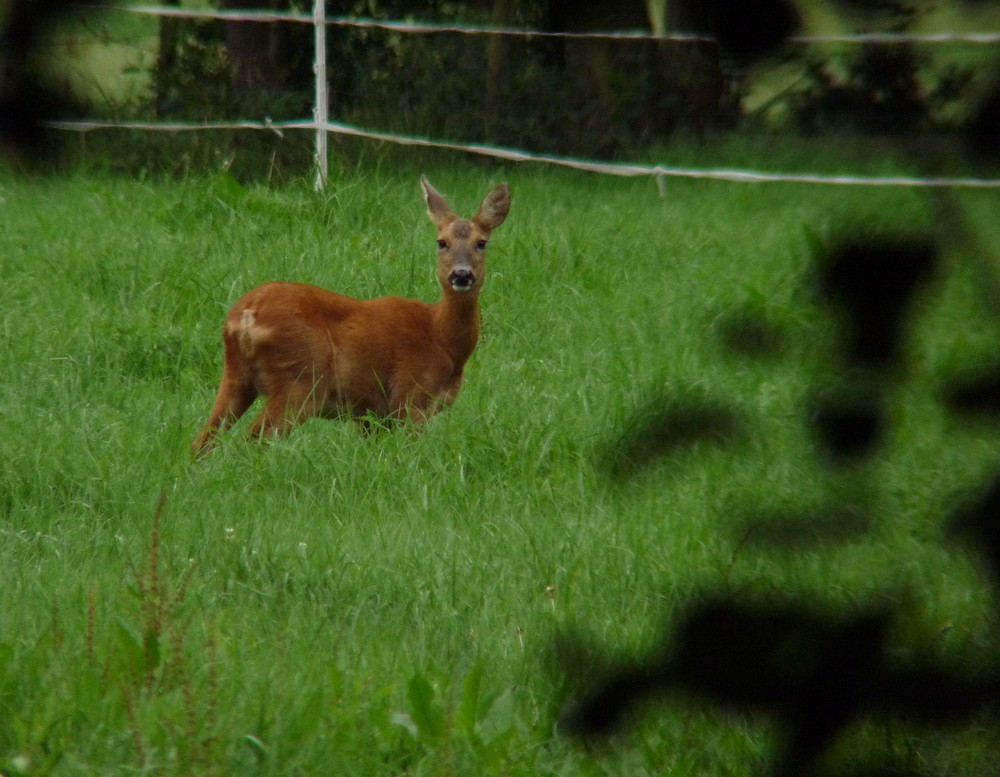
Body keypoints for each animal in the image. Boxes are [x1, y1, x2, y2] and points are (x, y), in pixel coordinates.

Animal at [191, 176, 512, 454]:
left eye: (481, 242)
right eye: (441, 242)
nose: (462, 274)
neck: (443, 339)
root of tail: (247, 314)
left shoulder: (371, 414)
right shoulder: (411, 397)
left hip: (236, 376)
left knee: (202, 441)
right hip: (301, 381)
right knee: (253, 440)